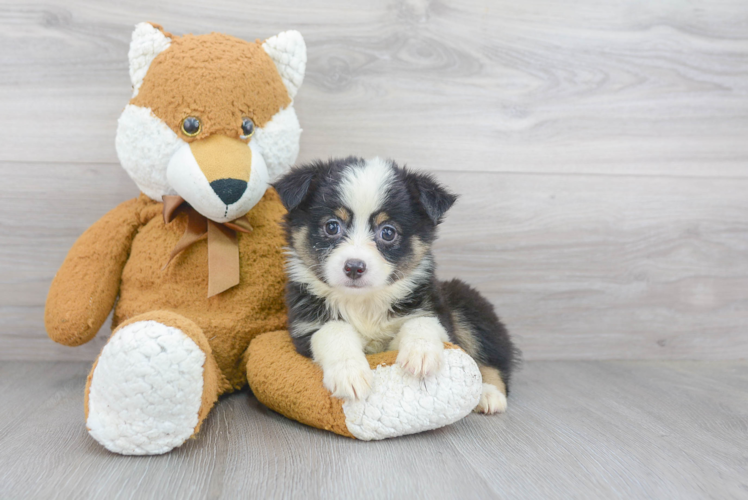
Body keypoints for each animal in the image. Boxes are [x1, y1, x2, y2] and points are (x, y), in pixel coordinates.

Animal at [274, 157, 520, 414]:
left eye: (388, 232)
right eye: (332, 227)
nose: (354, 267)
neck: (364, 302)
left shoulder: (435, 312)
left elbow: (421, 322)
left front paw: (420, 353)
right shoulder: (305, 325)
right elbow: (334, 330)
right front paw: (349, 374)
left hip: (466, 302)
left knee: (492, 360)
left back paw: (488, 394)